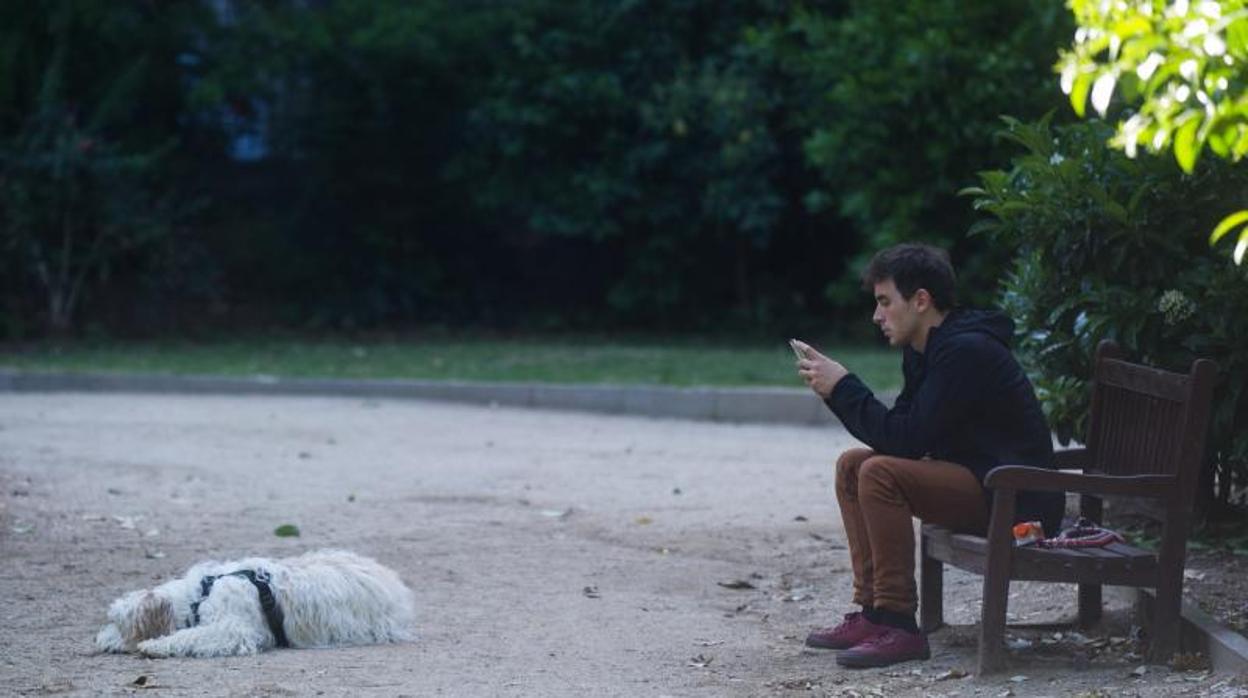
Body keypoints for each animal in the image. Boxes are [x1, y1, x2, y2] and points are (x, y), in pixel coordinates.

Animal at [94, 549, 414, 659]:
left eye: (115, 623)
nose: (96, 640)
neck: (201, 594)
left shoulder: (233, 629)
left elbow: (188, 636)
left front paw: (156, 645)